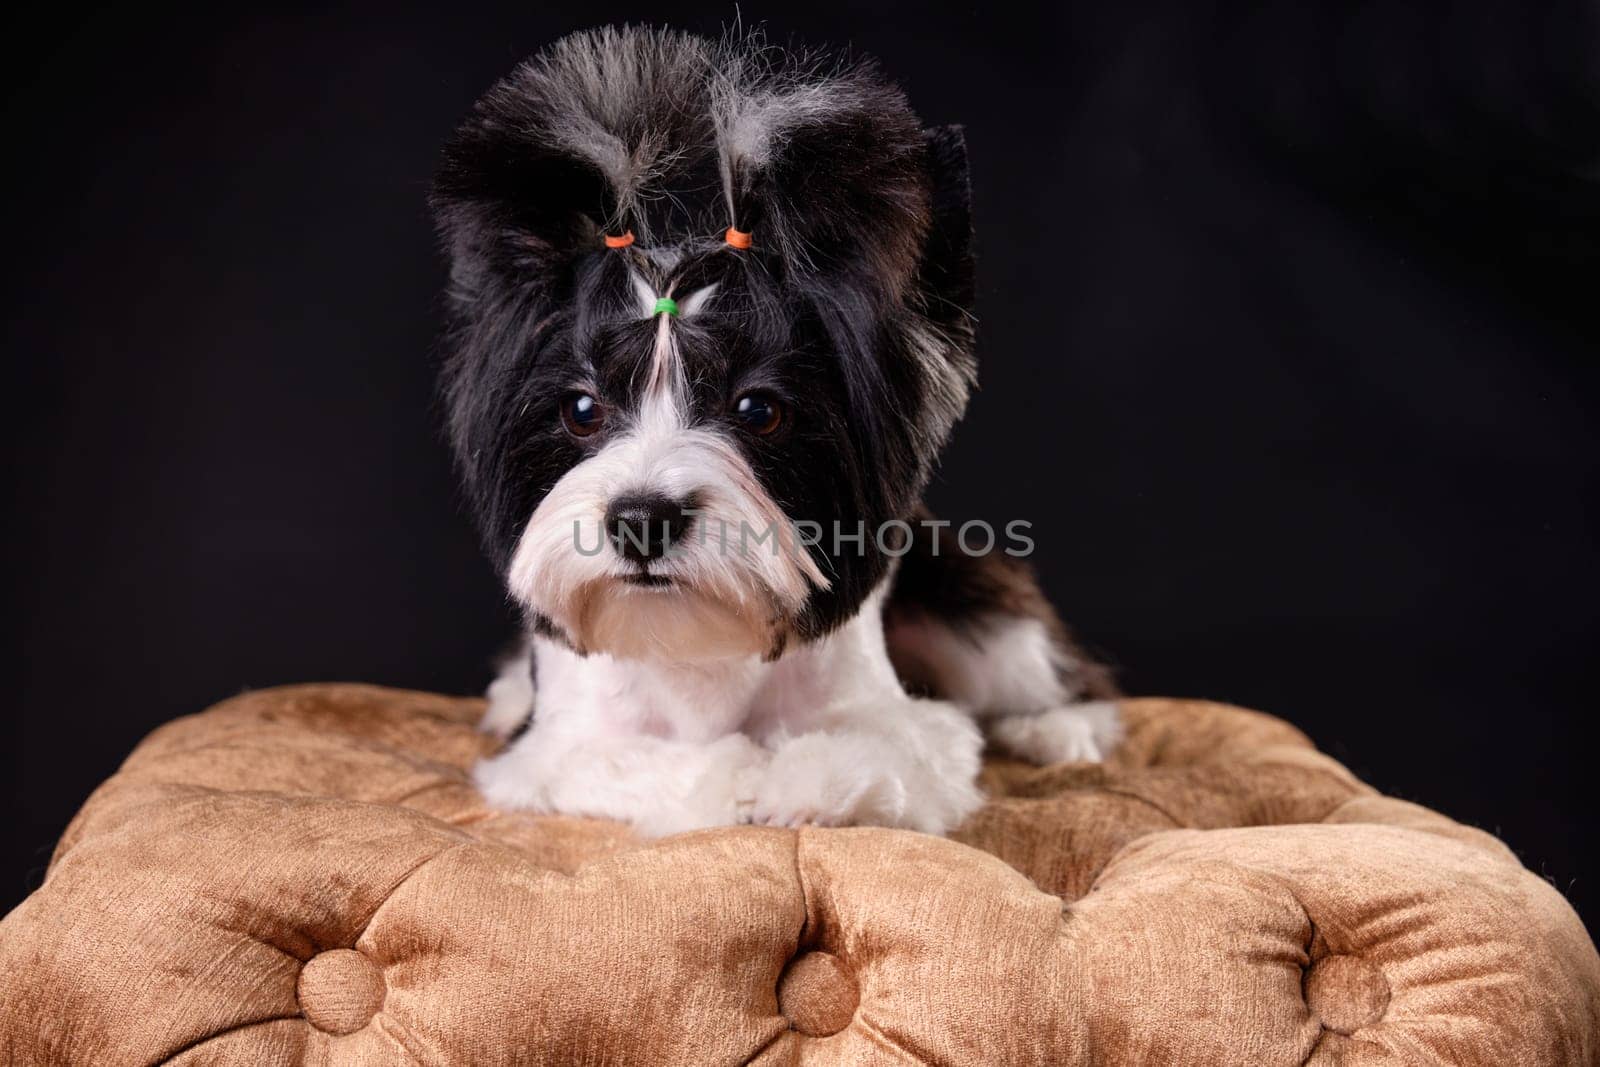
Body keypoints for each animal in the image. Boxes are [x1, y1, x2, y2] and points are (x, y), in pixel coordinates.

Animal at [432, 27, 1120, 844]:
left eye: (759, 410)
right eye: (582, 409)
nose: (640, 519)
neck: (695, 641)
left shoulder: (906, 723)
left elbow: (896, 749)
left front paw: (804, 776)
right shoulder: (547, 751)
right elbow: (625, 758)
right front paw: (738, 777)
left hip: (964, 595)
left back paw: (1062, 726)